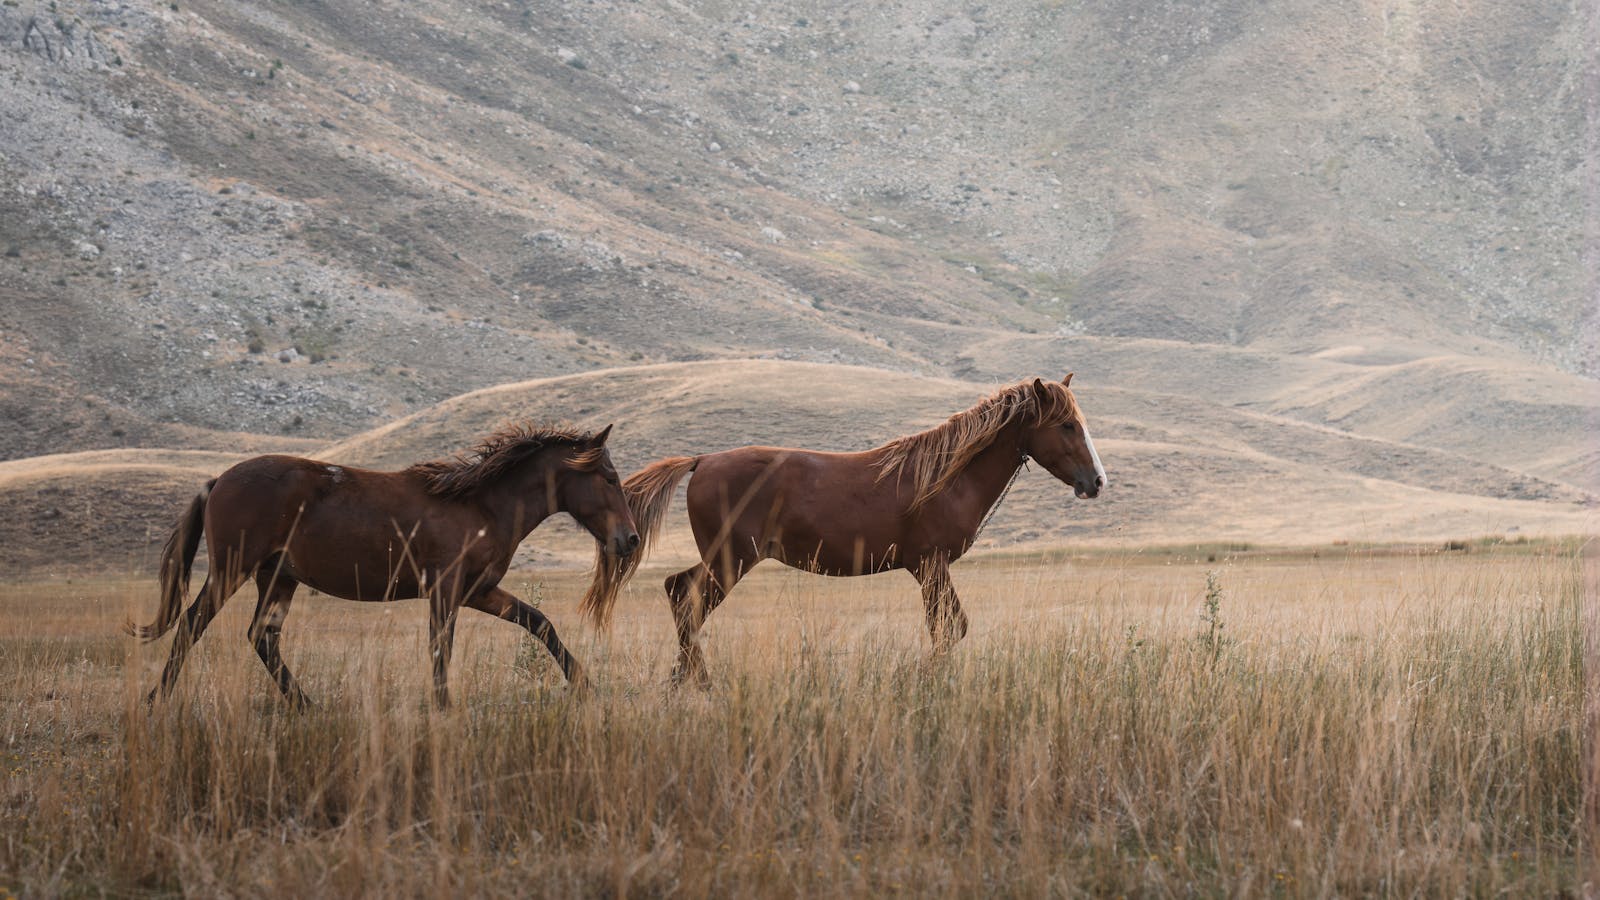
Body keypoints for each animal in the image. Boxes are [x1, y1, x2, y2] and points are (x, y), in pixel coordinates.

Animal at [126, 422, 636, 704]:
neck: (482, 506)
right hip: (231, 570)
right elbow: (440, 648)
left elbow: (539, 623)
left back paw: (306, 704)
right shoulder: (446, 590)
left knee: (262, 637)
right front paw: (443, 706)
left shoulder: (478, 591)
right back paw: (156, 701)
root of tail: (219, 480)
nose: (629, 539)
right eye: (609, 478)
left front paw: (584, 684)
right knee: (193, 625)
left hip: (278, 578)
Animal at [582, 374, 1107, 682]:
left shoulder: (929, 570)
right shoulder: (931, 566)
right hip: (731, 559)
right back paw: (697, 682)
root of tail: (702, 460)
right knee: (684, 599)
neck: (945, 476)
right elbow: (948, 630)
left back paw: (686, 678)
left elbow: (948, 628)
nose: (1096, 481)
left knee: (679, 594)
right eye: (1066, 425)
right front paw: (923, 677)